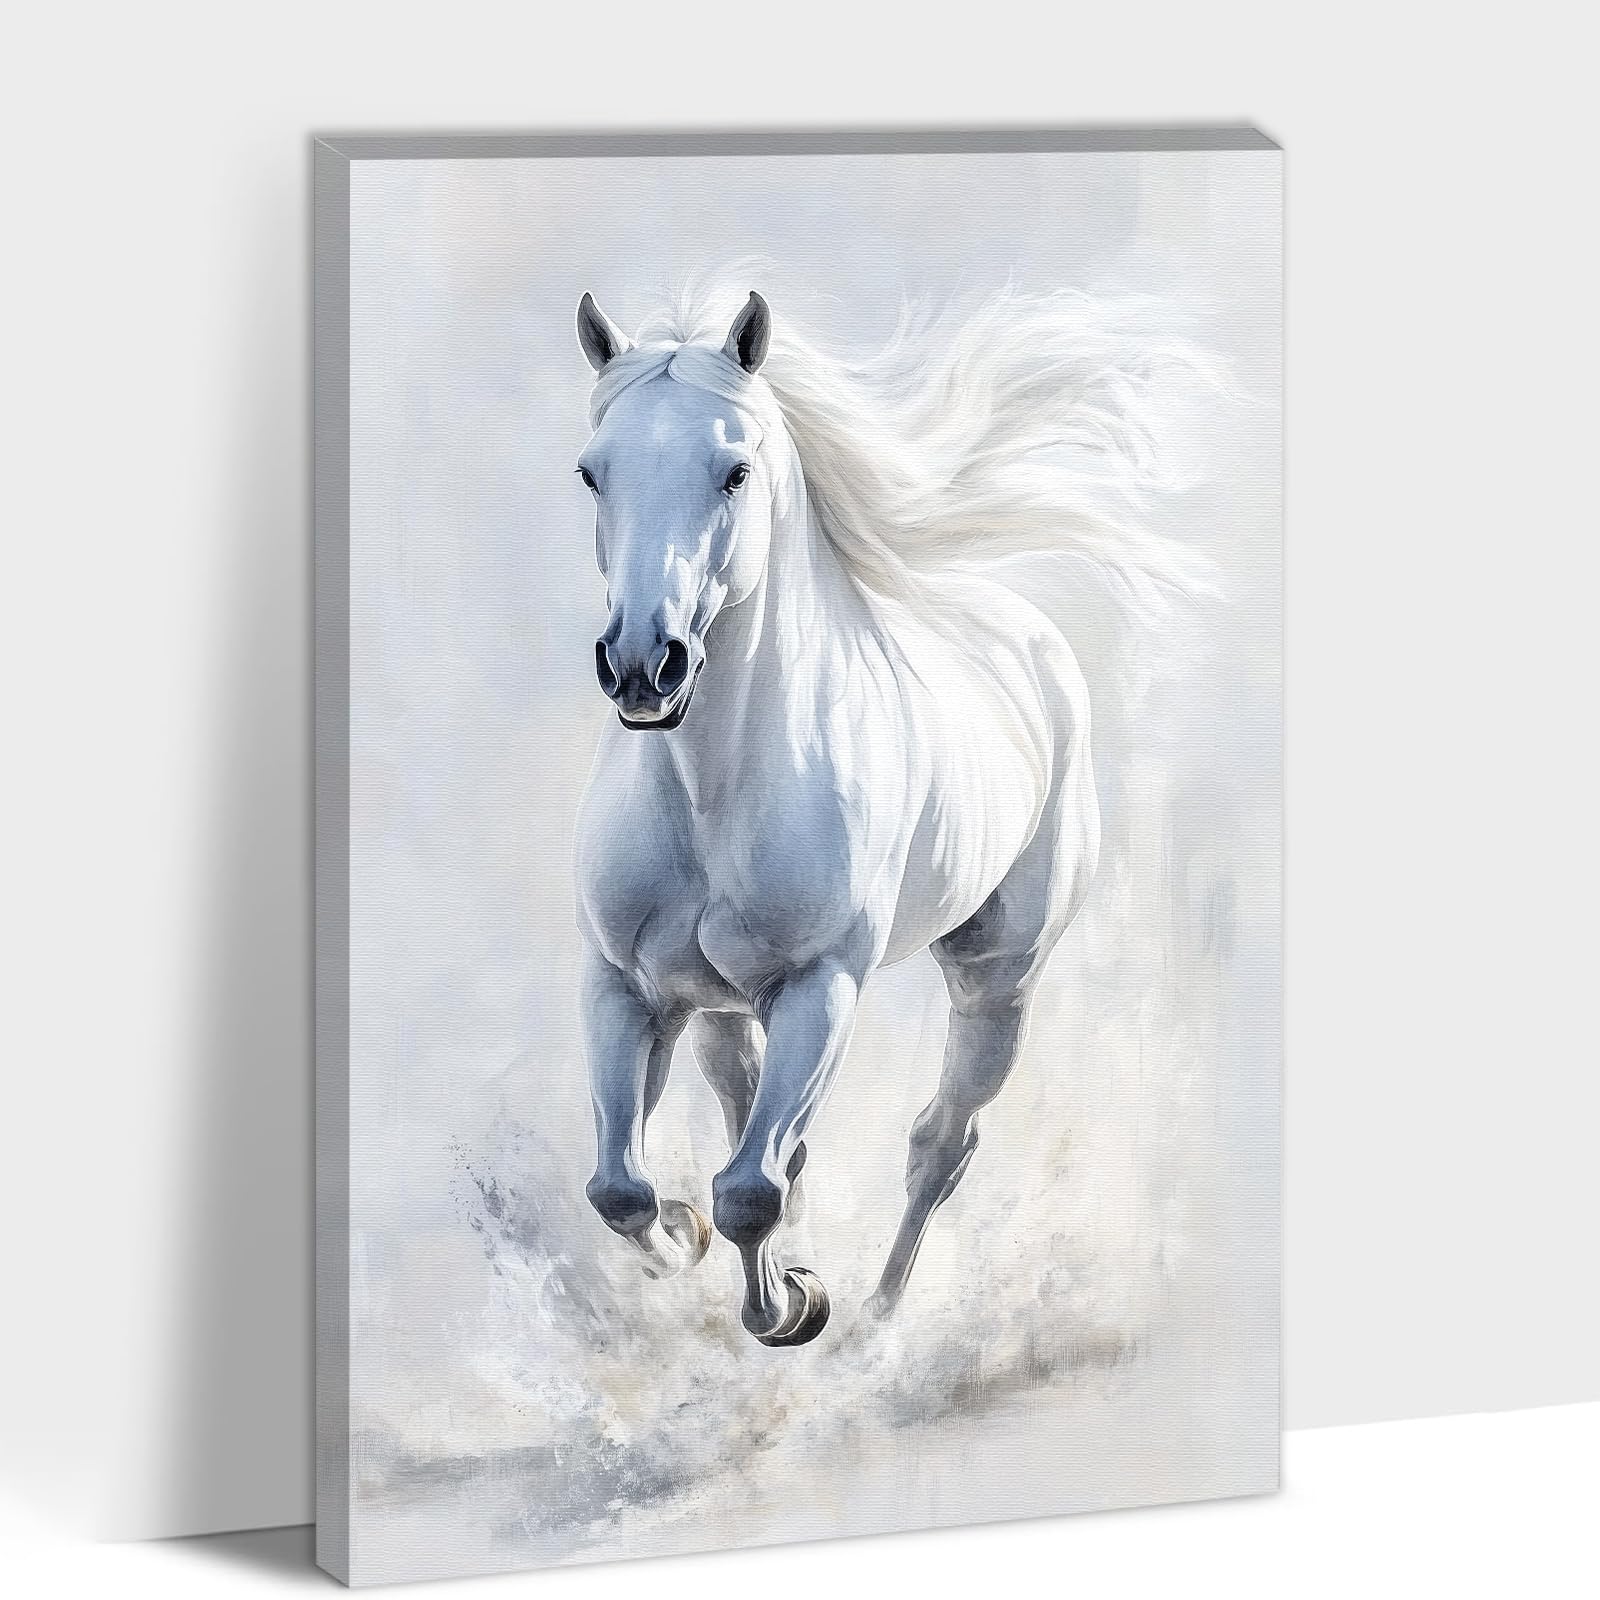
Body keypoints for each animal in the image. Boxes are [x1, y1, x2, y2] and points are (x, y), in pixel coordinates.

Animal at [570, 278, 1204, 1347]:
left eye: (735, 471)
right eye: (591, 473)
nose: (644, 664)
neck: (713, 793)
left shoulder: (820, 987)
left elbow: (751, 1190)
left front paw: (792, 1306)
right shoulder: (628, 988)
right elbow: (622, 1188)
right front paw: (688, 1244)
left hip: (997, 982)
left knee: (939, 1145)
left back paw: (873, 1319)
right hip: (720, 1010)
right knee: (762, 1127)